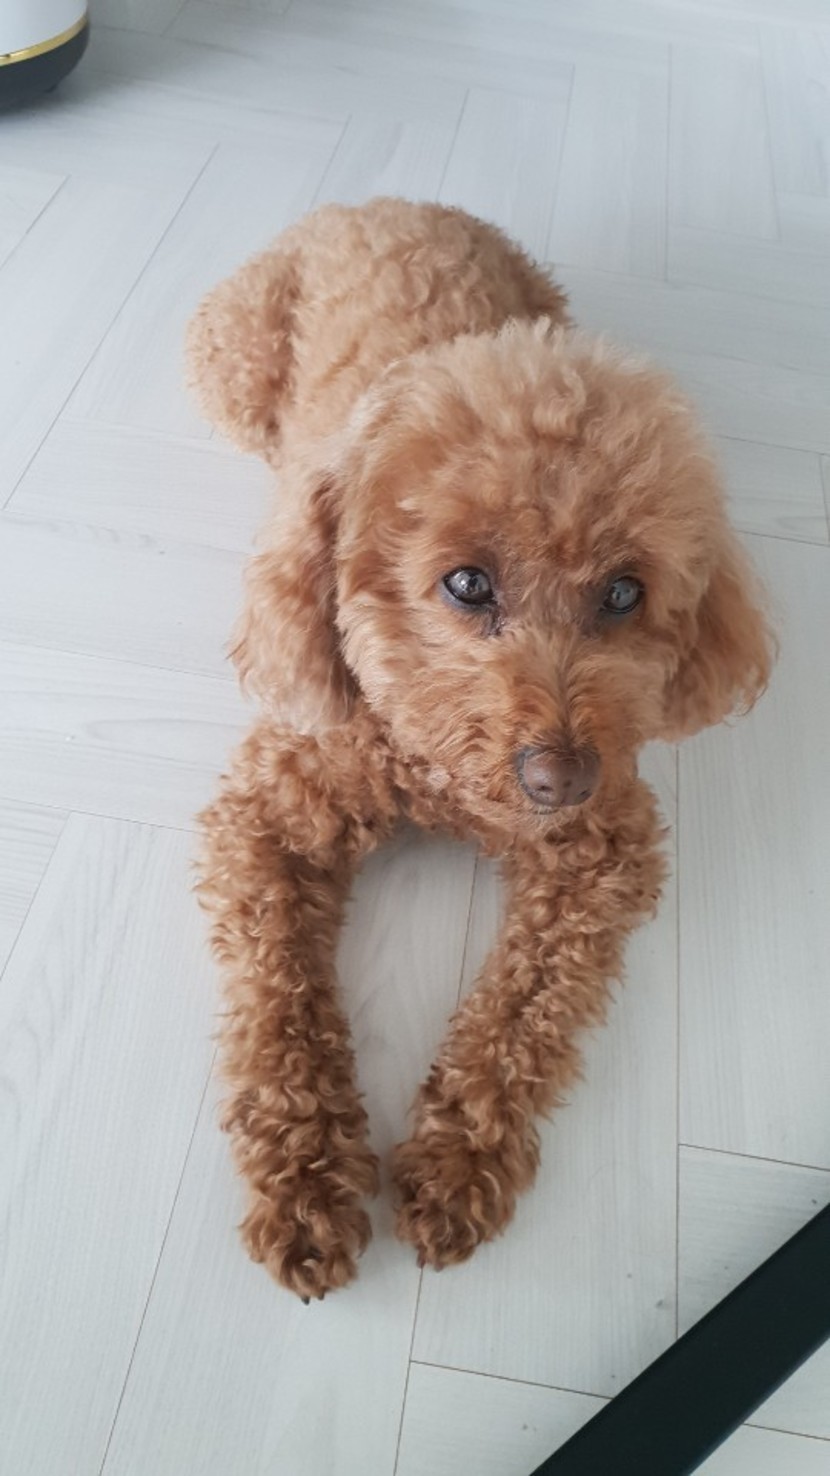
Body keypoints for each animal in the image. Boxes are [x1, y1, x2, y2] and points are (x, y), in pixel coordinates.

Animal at [188, 198, 772, 1301]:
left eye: (623, 593)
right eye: (465, 585)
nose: (561, 774)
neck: (442, 780)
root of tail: (383, 203)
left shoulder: (602, 852)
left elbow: (524, 1012)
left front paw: (458, 1158)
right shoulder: (271, 813)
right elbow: (279, 1004)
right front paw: (306, 1180)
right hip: (229, 370)